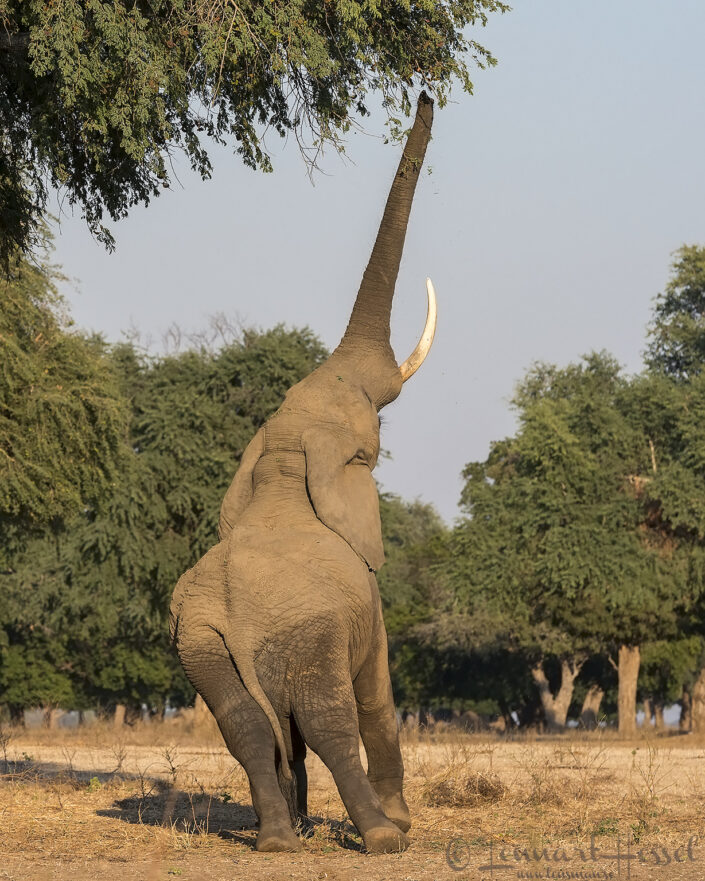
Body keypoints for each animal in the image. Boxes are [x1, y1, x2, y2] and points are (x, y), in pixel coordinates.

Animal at [169, 92, 436, 854]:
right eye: (369, 448)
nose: (426, 94)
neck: (285, 462)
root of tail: (235, 610)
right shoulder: (365, 600)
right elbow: (377, 690)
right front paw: (398, 822)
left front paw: (306, 824)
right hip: (304, 633)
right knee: (330, 718)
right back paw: (379, 835)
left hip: (201, 641)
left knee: (246, 728)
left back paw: (279, 839)